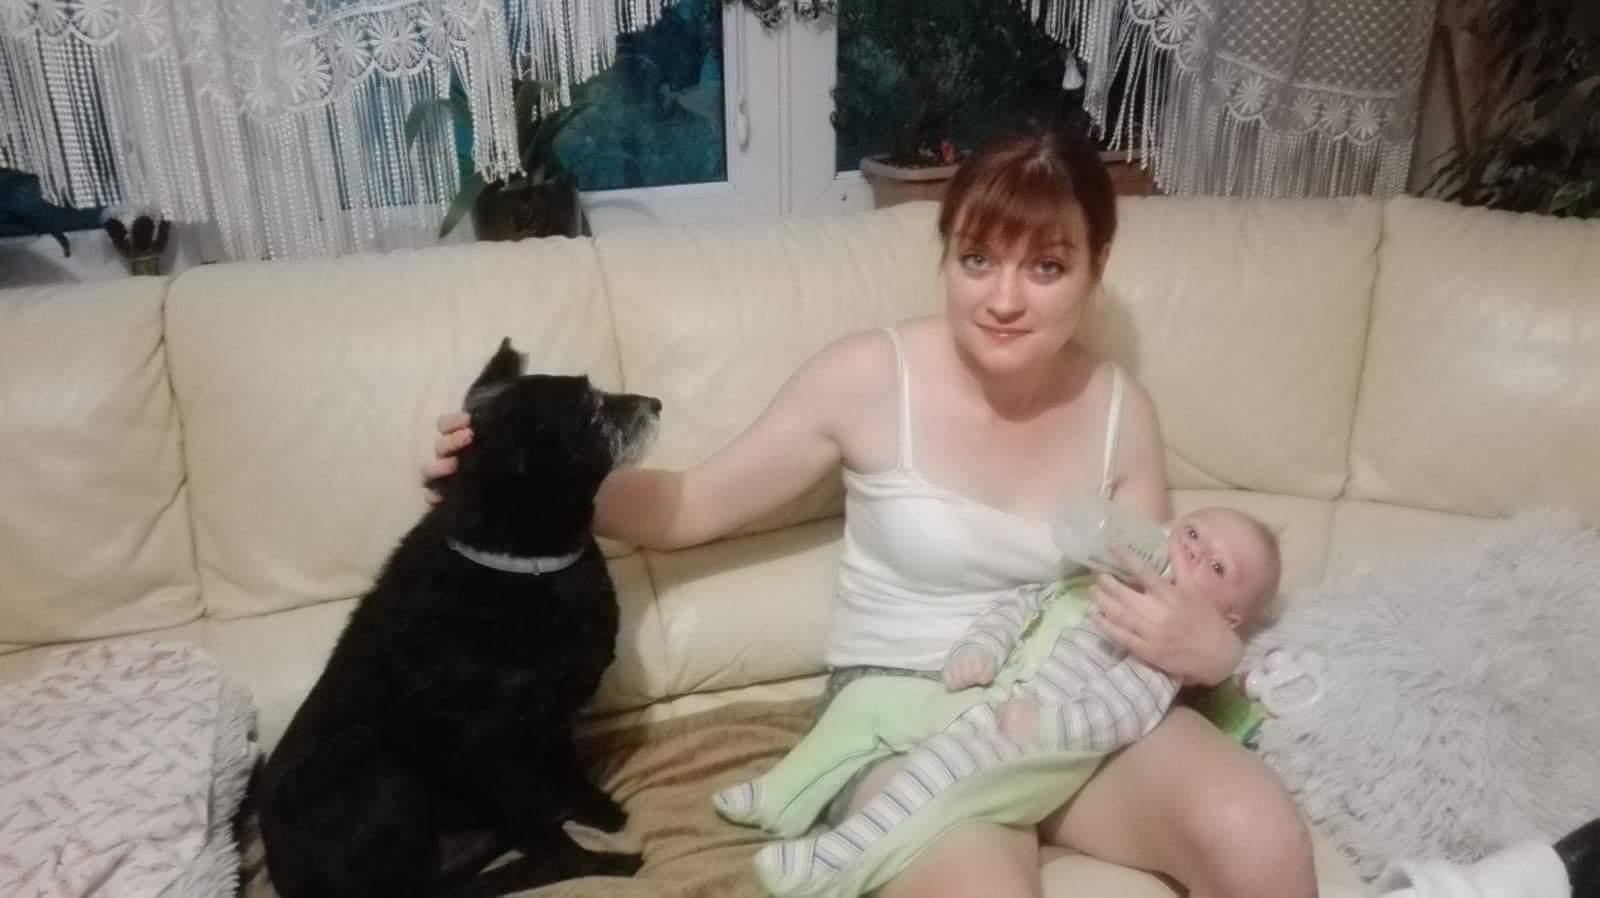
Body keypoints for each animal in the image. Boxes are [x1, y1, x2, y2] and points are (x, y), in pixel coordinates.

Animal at [259, 338, 659, 898]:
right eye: (589, 408)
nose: (657, 403)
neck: (524, 563)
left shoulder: (555, 717)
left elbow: (570, 772)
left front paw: (598, 809)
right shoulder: (479, 750)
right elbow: (546, 836)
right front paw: (597, 856)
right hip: (367, 761)